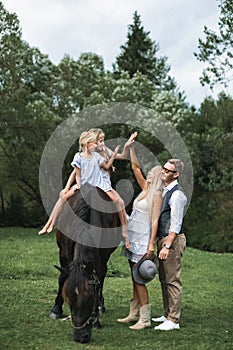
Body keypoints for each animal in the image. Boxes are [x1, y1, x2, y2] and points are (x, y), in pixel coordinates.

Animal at [49, 185, 121, 344]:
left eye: (89, 297)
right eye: (68, 297)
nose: (80, 336)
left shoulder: (101, 258)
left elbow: (99, 282)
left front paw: (95, 319)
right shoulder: (63, 253)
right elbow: (62, 278)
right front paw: (56, 309)